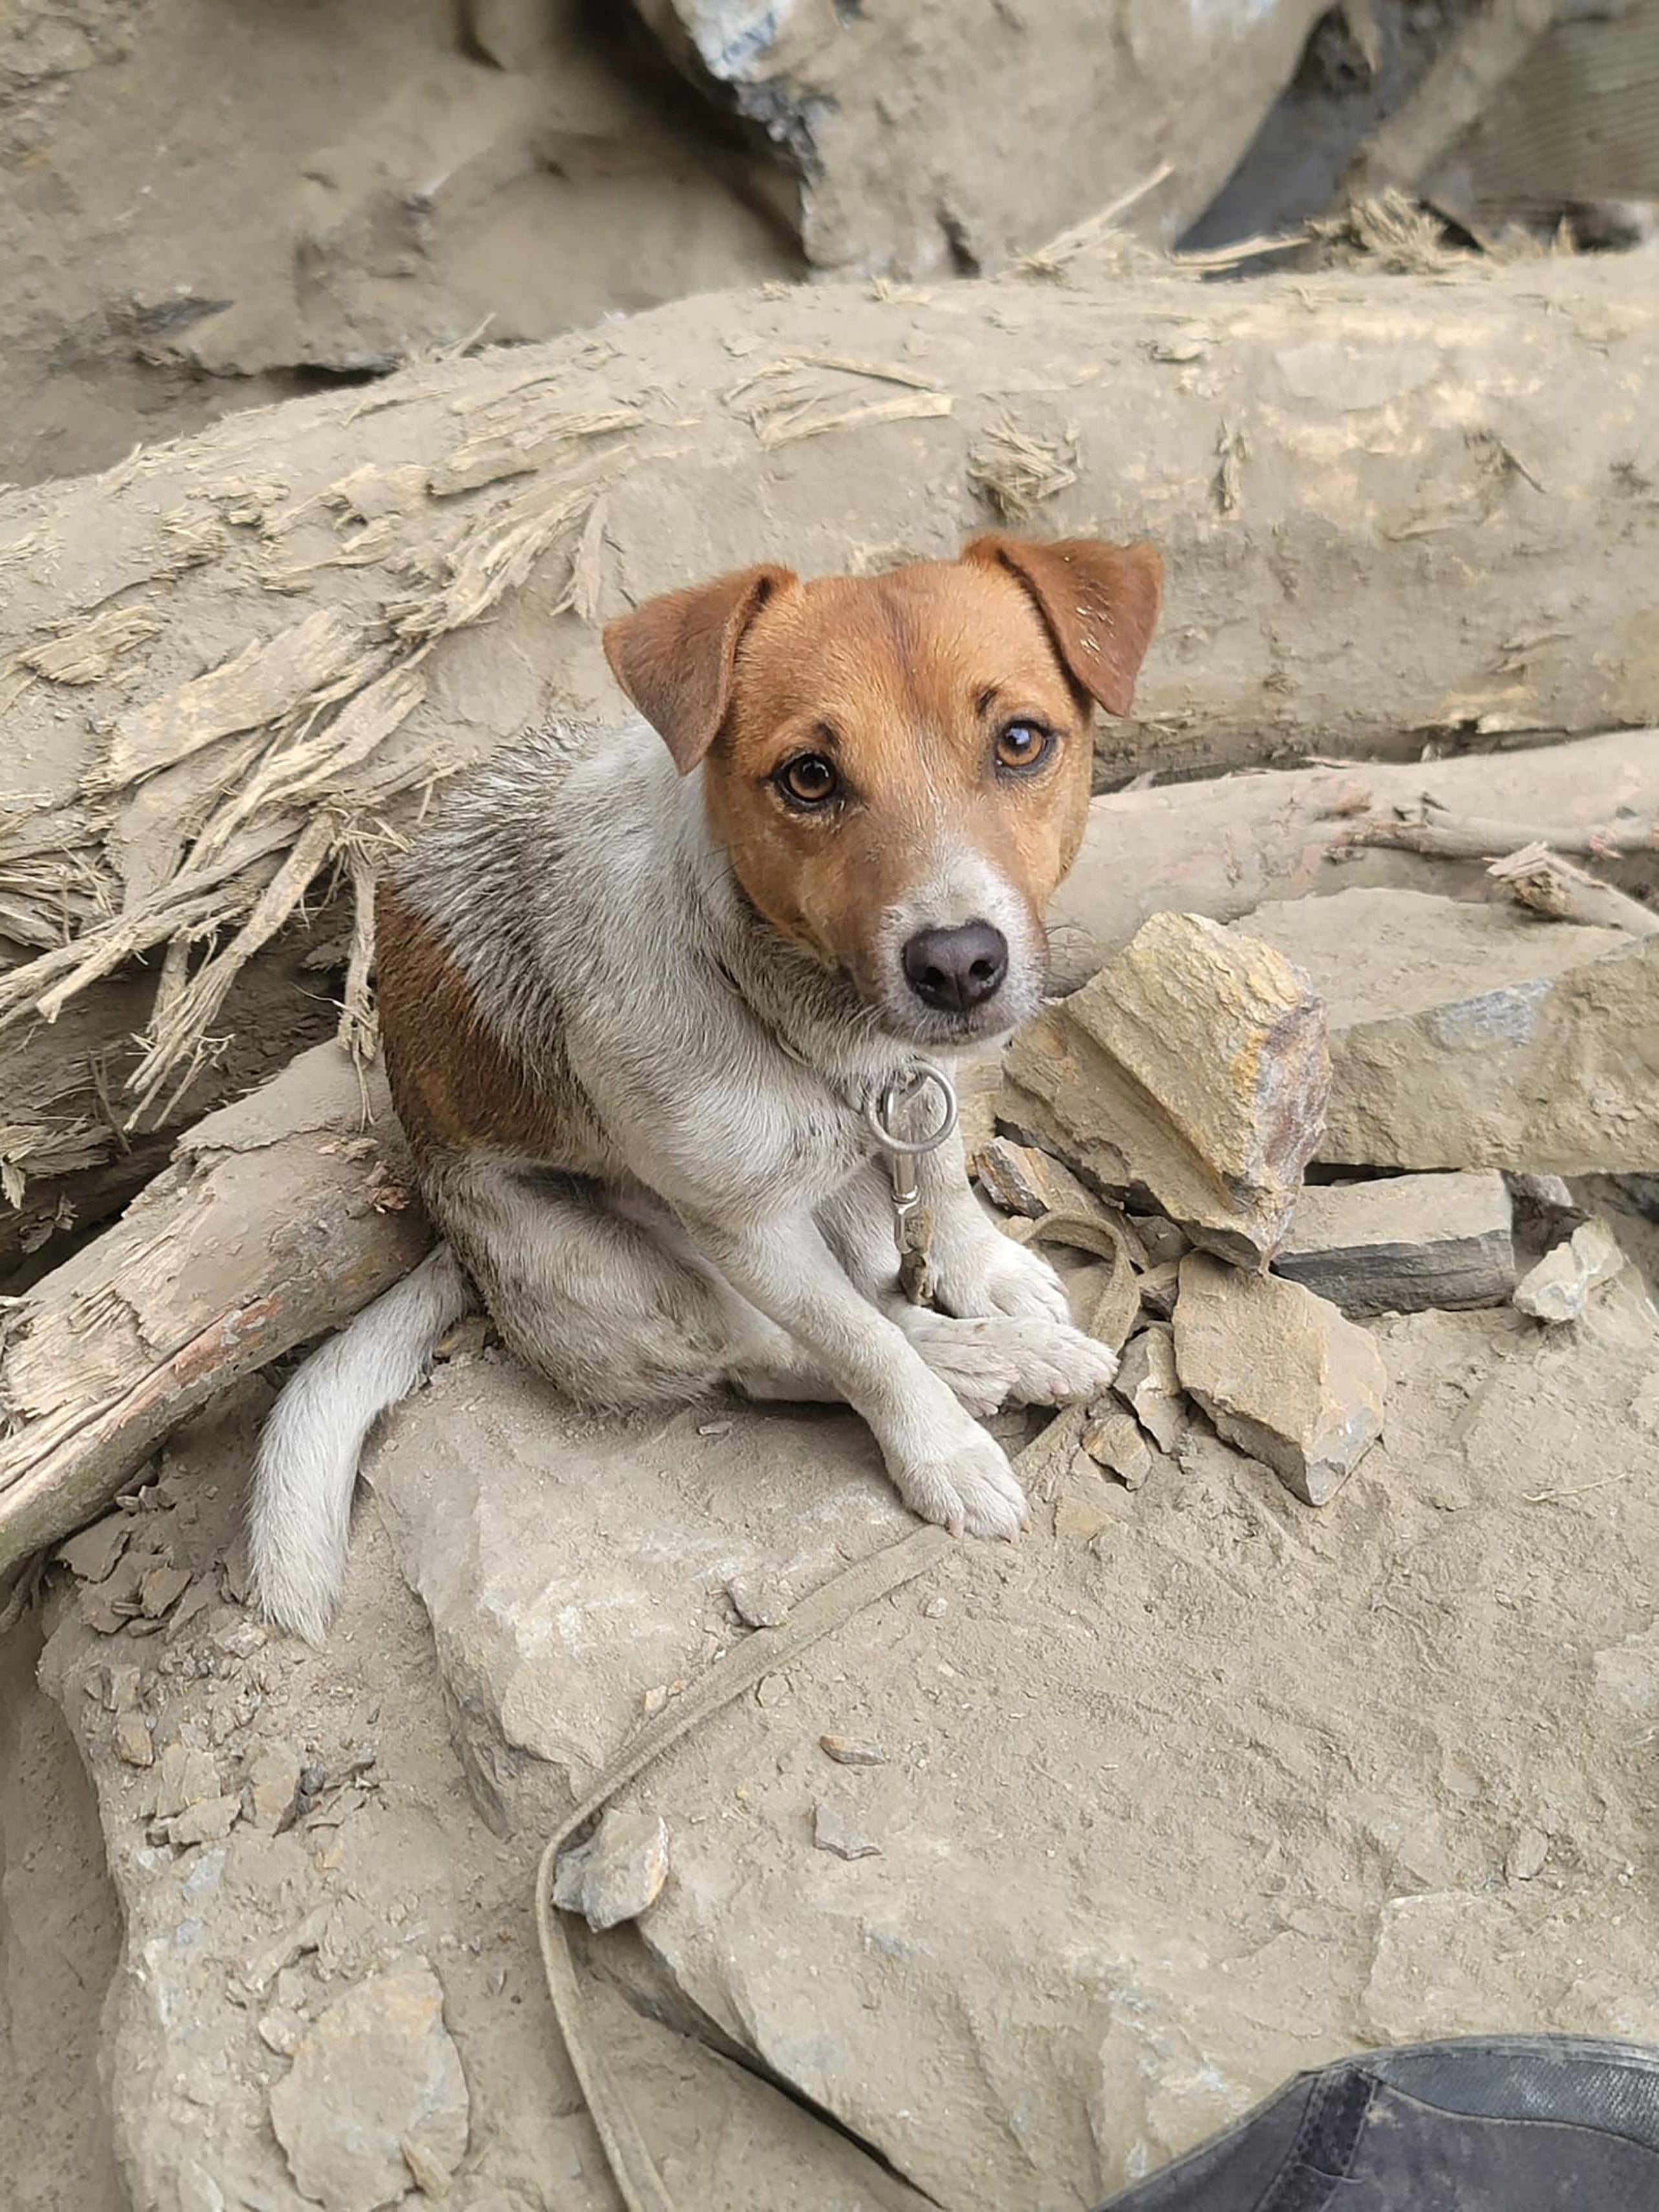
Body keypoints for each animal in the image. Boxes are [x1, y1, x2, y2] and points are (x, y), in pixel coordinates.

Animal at [249, 535, 1168, 1645]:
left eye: (1021, 741)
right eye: (809, 777)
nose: (955, 964)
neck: (802, 1012)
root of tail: (451, 1253)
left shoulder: (919, 1096)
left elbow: (942, 1185)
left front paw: (984, 1270)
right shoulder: (749, 1232)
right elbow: (861, 1351)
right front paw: (938, 1450)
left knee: (867, 1289)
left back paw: (1008, 1345)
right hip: (636, 1275)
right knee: (779, 1355)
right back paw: (979, 1369)